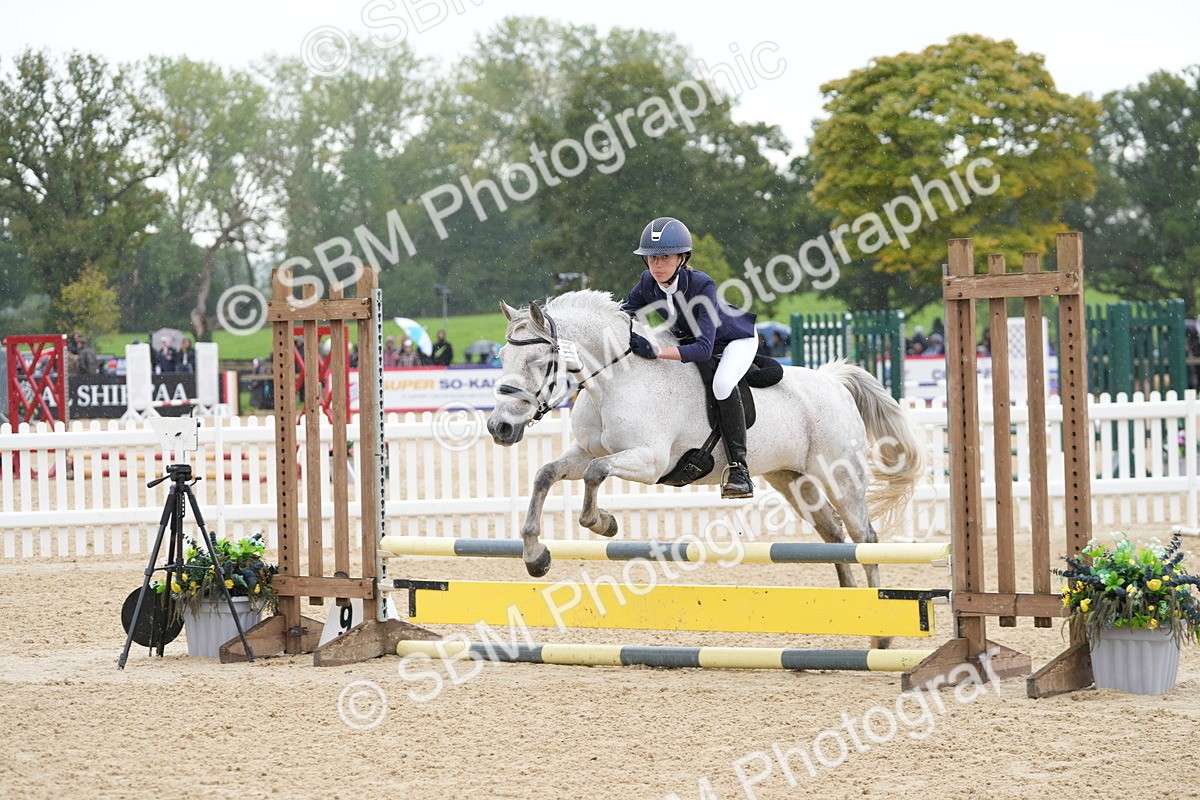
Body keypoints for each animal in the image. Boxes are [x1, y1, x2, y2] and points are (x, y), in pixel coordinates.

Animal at [486, 290, 927, 602]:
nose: (499, 428)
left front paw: (602, 522)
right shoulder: (585, 452)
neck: (614, 380)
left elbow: (596, 475)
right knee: (834, 537)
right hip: (792, 479)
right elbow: (546, 475)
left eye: (538, 362)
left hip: (840, 477)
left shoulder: (650, 461)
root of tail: (834, 380)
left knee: (864, 538)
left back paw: (881, 635)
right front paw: (536, 556)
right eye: (502, 356)